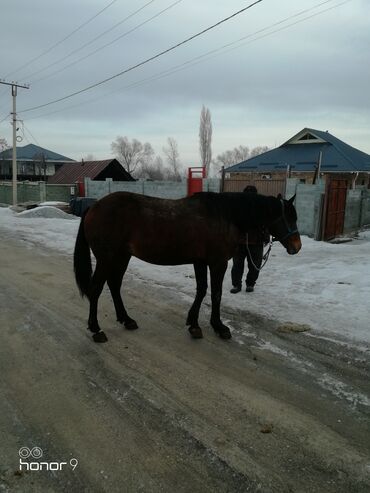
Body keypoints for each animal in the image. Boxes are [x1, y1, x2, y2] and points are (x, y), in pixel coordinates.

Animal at [73, 192, 302, 342]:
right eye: (289, 217)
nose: (297, 247)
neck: (224, 215)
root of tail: (93, 206)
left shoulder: (200, 261)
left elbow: (201, 290)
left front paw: (194, 324)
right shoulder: (218, 263)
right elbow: (216, 294)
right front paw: (219, 327)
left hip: (122, 256)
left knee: (114, 285)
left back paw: (126, 320)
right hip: (107, 258)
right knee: (96, 289)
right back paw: (96, 329)